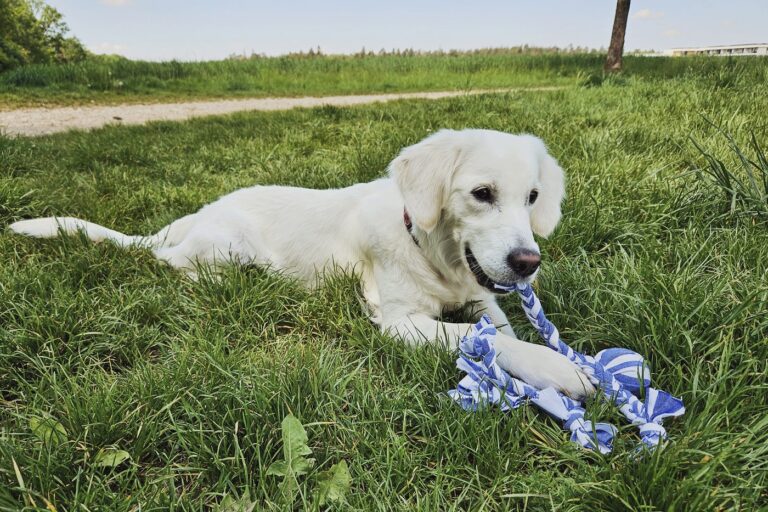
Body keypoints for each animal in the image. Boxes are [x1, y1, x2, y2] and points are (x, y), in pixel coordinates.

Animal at [12, 130, 592, 398]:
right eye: (481, 193)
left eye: (532, 197)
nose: (528, 262)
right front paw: (561, 369)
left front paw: (556, 357)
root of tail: (192, 216)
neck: (433, 253)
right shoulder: (399, 320)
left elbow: (503, 329)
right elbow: (485, 340)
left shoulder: (479, 298)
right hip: (230, 247)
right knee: (177, 266)